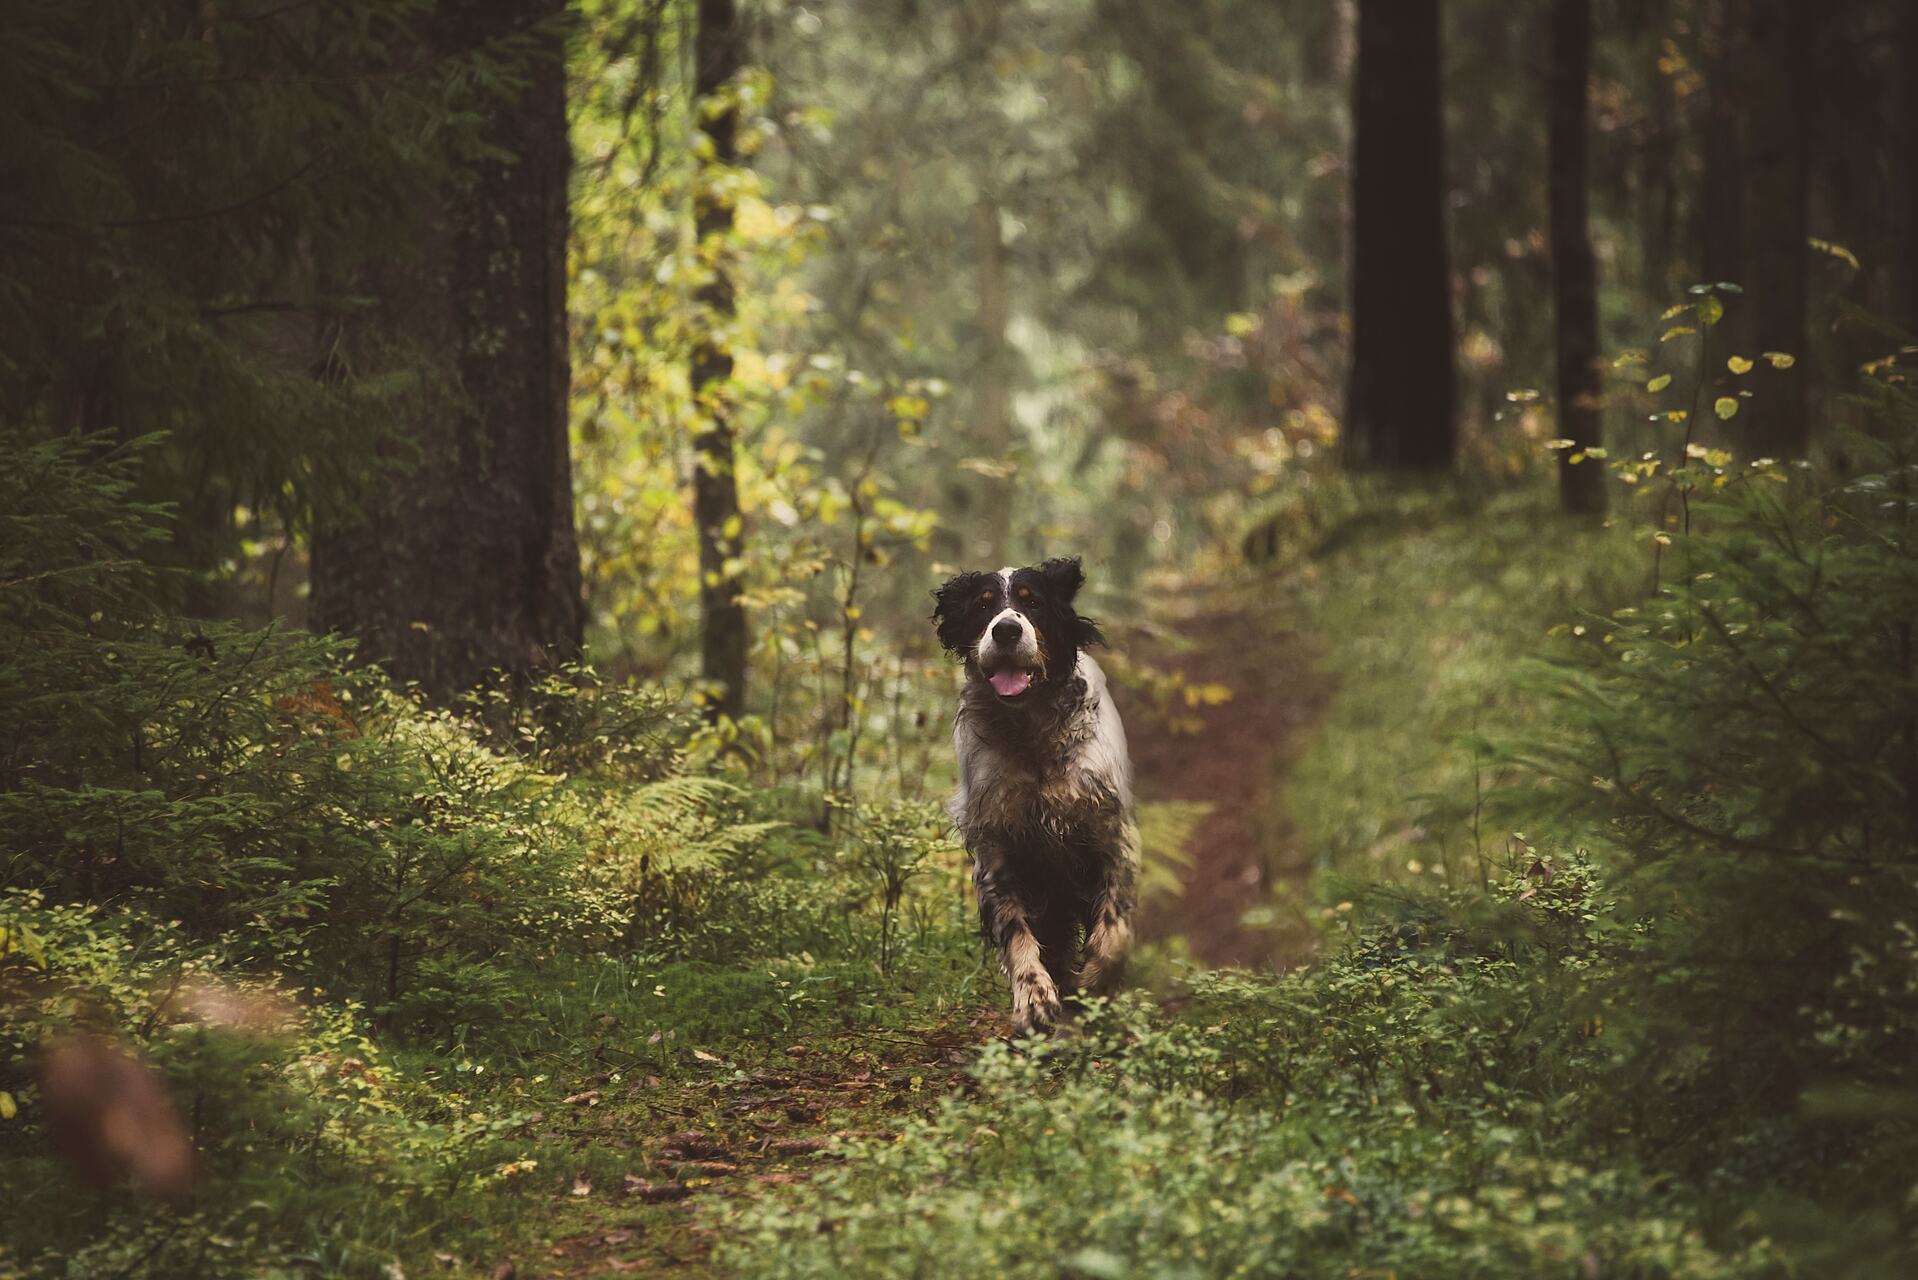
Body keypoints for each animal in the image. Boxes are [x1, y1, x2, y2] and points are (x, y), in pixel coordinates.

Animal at [932, 556, 1135, 1036]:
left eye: (1033, 603)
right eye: (983, 606)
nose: (1006, 630)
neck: (1031, 735)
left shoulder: (1111, 836)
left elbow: (1113, 930)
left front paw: (1095, 980)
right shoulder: (998, 853)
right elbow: (1016, 932)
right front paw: (1034, 999)